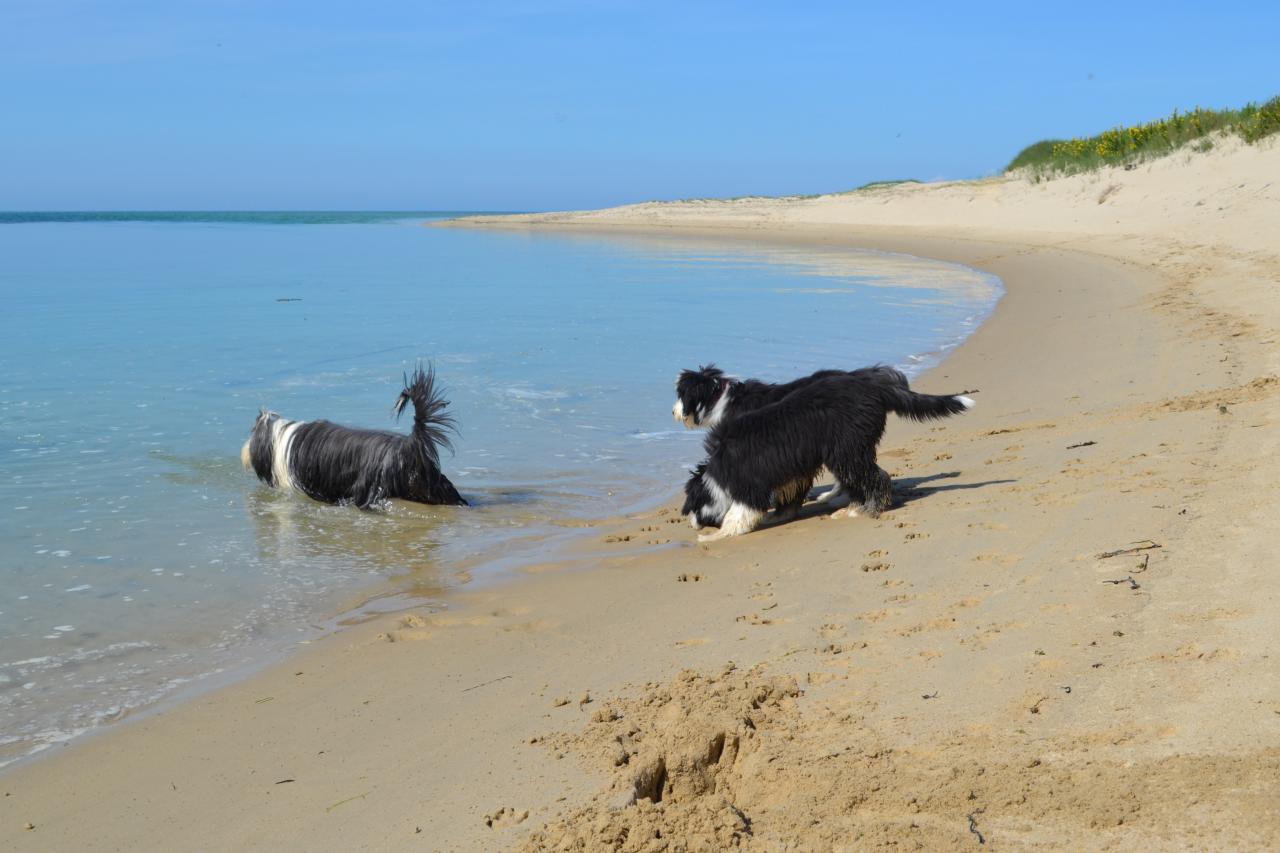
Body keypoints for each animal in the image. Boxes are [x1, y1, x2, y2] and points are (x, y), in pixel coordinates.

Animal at [686, 371, 972, 537]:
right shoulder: (792, 472)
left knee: (877, 477)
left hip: (847, 449)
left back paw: (865, 509)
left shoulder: (751, 481)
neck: (720, 471)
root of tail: (873, 387)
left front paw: (718, 534)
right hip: (849, 450)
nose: (689, 524)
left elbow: (740, 512)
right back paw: (851, 506)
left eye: (691, 507)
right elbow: (789, 496)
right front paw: (781, 514)